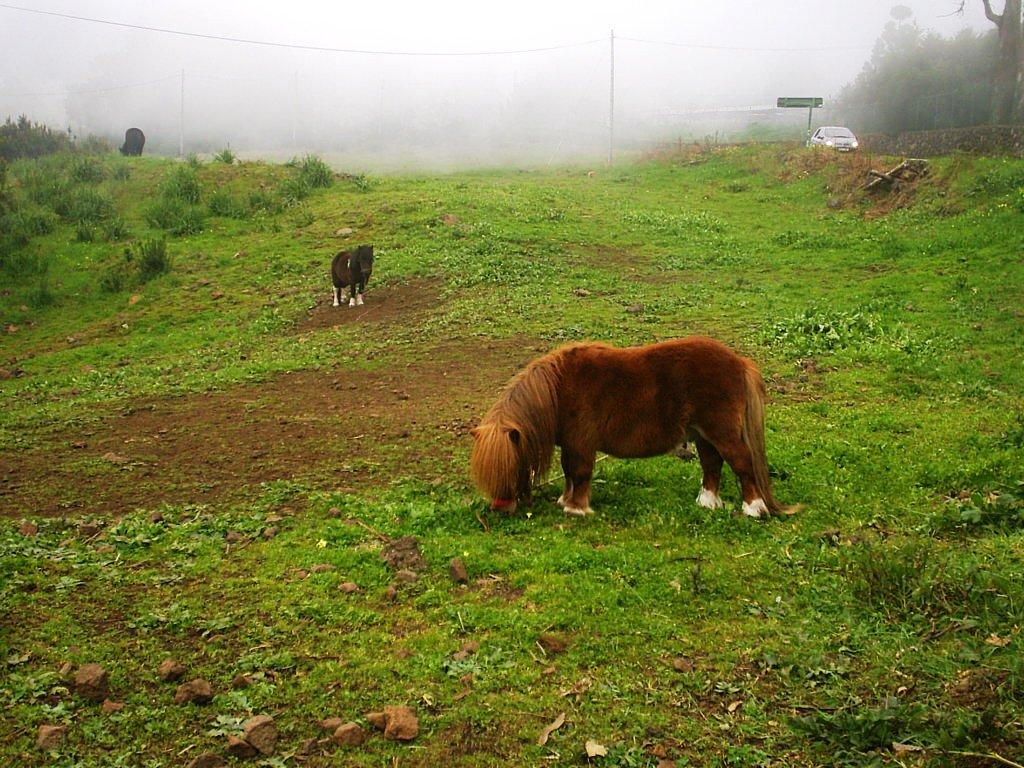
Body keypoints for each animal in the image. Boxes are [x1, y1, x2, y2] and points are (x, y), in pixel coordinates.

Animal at [468, 335, 786, 520]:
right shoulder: (572, 443)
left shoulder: (582, 443)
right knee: (712, 464)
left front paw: (576, 508)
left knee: (742, 463)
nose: (500, 508)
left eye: (511, 465)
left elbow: (579, 473)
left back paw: (753, 508)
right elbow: (569, 472)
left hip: (722, 432)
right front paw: (565, 500)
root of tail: (739, 362)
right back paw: (708, 503)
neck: (558, 390)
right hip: (703, 435)